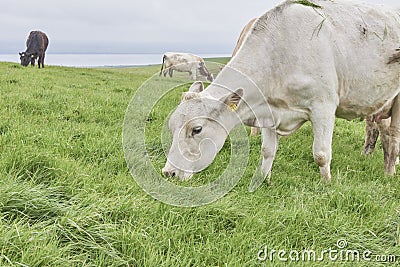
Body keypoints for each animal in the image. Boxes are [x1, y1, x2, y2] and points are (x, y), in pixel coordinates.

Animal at [161, 0, 400, 186]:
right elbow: (267, 151)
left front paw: (327, 184)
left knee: (394, 138)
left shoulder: (323, 107)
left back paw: (389, 173)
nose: (169, 172)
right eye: (171, 127)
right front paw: (264, 179)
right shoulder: (269, 111)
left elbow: (321, 154)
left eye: (197, 129)